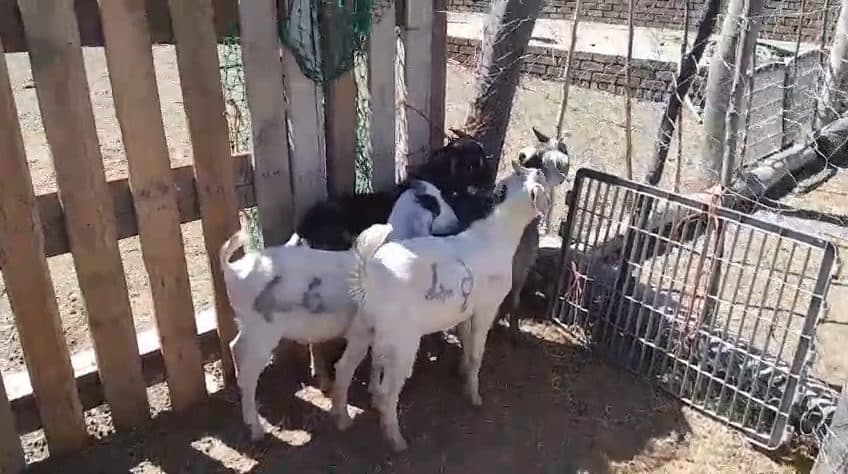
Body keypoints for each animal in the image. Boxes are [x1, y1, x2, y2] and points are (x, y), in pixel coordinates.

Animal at [330, 161, 552, 452]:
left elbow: (466, 343)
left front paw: (462, 374)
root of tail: (371, 272)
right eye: (541, 178)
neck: (496, 236)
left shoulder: (465, 311)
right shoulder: (486, 308)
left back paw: (342, 418)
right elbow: (477, 352)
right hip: (403, 341)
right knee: (389, 390)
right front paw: (474, 395)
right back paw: (395, 439)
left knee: (344, 368)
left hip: (362, 326)